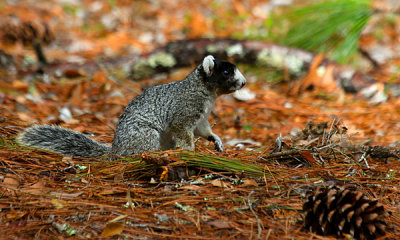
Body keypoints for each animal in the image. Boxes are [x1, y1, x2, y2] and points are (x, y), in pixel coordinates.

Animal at [17, 55, 247, 158]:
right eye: (226, 72)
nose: (244, 83)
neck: (206, 92)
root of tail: (116, 151)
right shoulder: (184, 111)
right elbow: (182, 131)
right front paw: (189, 151)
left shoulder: (200, 118)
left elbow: (203, 130)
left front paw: (216, 140)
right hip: (145, 136)